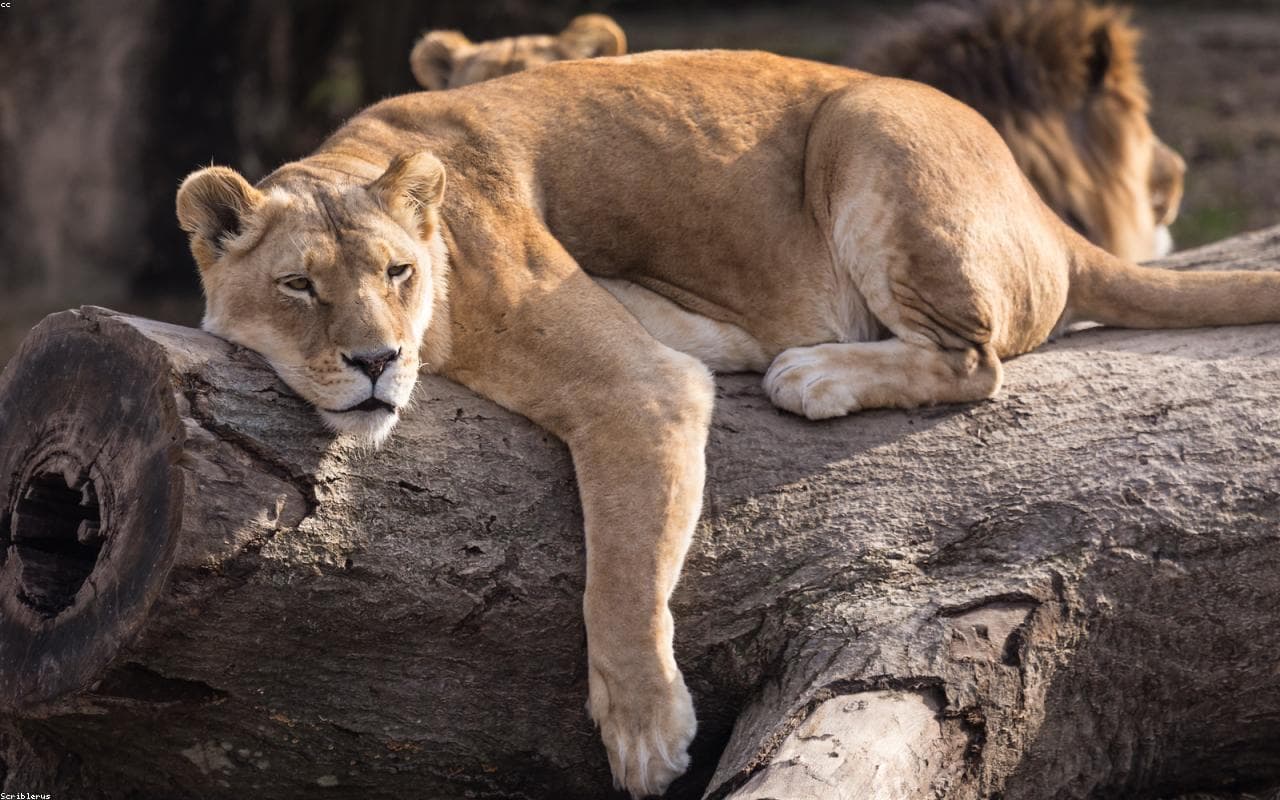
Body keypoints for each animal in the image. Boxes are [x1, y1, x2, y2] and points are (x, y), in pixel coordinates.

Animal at [176, 51, 1280, 797]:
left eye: (397, 271)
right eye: (299, 285)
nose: (376, 361)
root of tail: (1045, 210)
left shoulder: (639, 384)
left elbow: (623, 568)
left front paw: (644, 730)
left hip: (868, 123)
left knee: (978, 363)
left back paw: (814, 372)